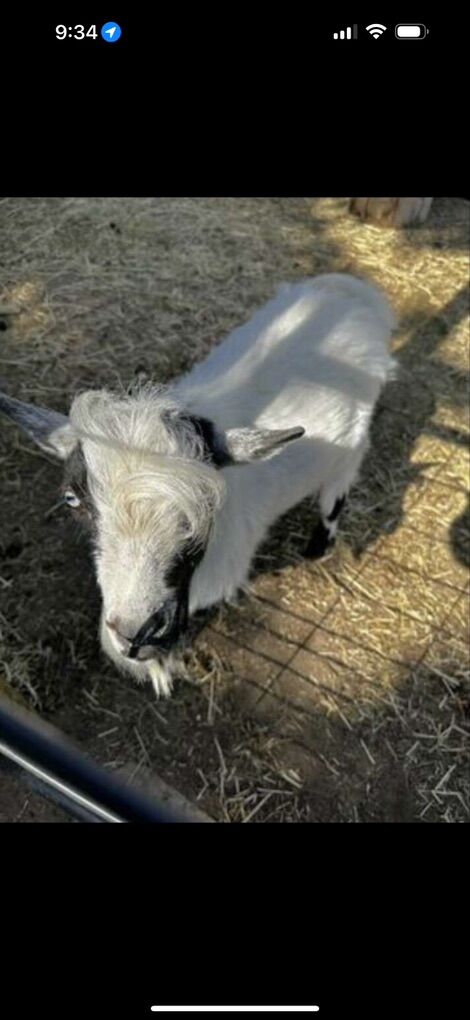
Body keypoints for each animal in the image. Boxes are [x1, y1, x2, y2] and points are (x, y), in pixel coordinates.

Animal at [0, 273, 396, 697]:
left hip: (352, 444)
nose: (137, 634)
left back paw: (319, 547)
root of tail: (352, 289)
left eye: (207, 503)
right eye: (72, 499)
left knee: (337, 488)